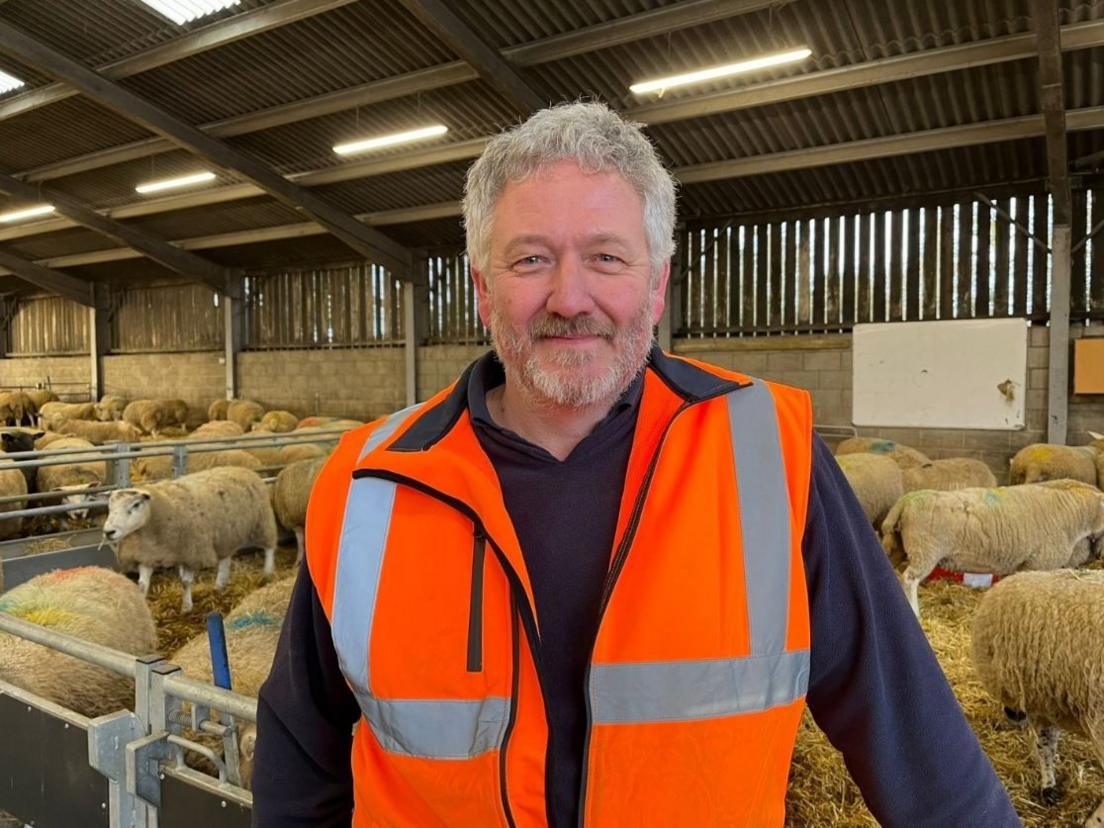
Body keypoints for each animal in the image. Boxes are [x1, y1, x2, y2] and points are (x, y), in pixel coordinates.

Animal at [103, 470, 278, 613]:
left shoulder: (192, 552)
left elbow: (185, 582)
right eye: (110, 507)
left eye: (136, 504)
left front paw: (187, 607)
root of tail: (245, 470)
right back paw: (219, 584)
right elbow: (142, 586)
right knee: (225, 559)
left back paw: (268, 572)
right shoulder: (147, 555)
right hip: (225, 534)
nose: (108, 532)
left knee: (269, 547)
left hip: (263, 521)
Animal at [878, 479, 1104, 618]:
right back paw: (914, 612)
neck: (1074, 512)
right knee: (910, 579)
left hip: (897, 547)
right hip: (925, 549)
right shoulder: (1040, 562)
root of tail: (906, 501)